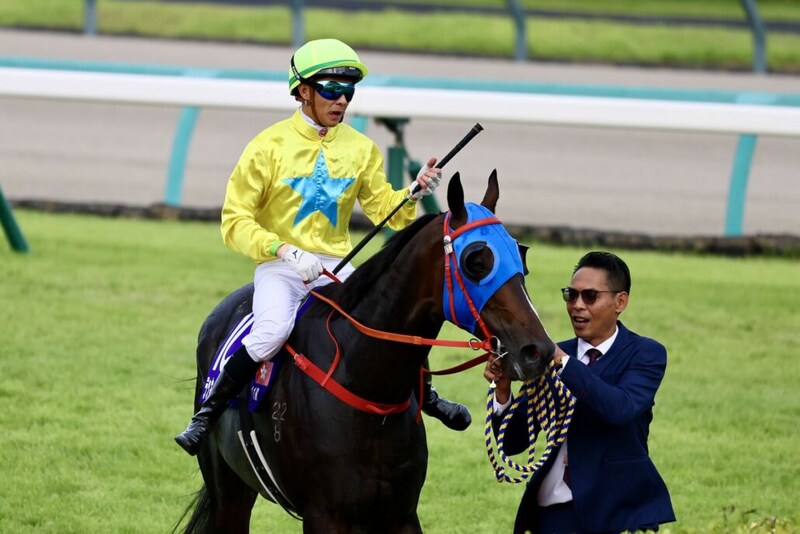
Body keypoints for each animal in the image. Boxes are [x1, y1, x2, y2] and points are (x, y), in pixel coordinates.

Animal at [177, 171, 555, 533]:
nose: (538, 350)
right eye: (477, 262)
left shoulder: (400, 514)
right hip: (229, 490)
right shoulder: (325, 515)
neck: (367, 383)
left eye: (521, 254)